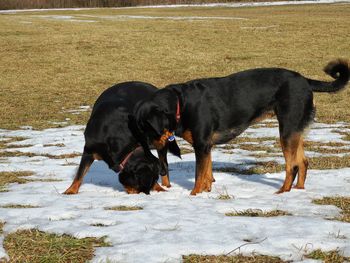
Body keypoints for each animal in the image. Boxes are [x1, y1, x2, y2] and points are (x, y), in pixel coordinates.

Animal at [131, 60, 350, 196]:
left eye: (147, 129)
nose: (145, 147)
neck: (181, 104)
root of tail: (305, 80)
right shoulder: (206, 146)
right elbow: (207, 173)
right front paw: (207, 192)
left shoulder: (201, 145)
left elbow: (198, 176)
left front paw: (194, 195)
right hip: (295, 130)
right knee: (303, 162)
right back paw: (298, 191)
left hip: (286, 130)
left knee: (292, 166)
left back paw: (282, 192)